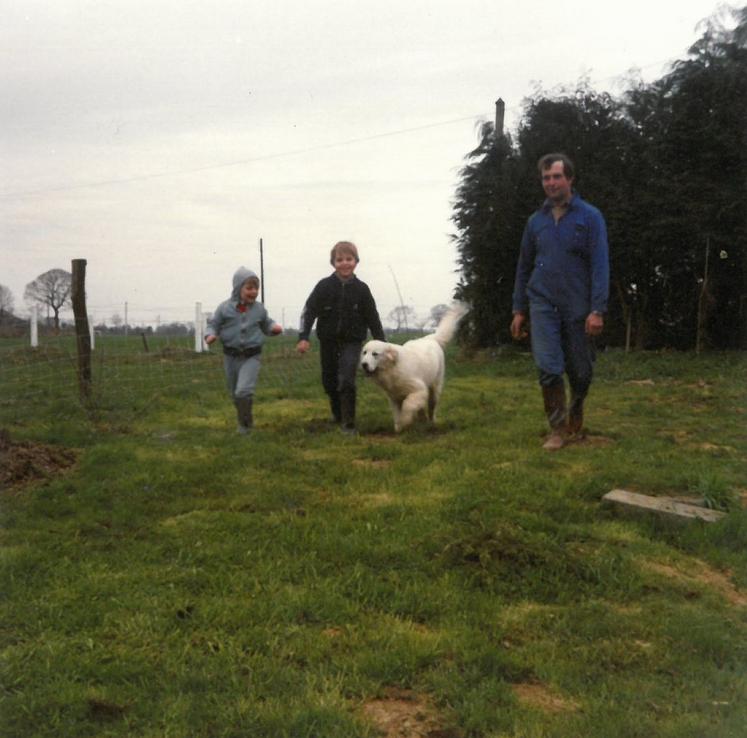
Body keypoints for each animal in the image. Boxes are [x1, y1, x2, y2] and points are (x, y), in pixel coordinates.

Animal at [358, 302, 468, 432]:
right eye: (364, 353)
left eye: (375, 354)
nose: (364, 364)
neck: (392, 369)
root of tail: (430, 338)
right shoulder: (394, 398)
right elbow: (397, 414)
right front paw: (399, 428)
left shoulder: (418, 390)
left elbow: (407, 406)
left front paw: (405, 421)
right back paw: (422, 419)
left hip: (434, 389)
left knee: (431, 407)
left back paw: (431, 422)